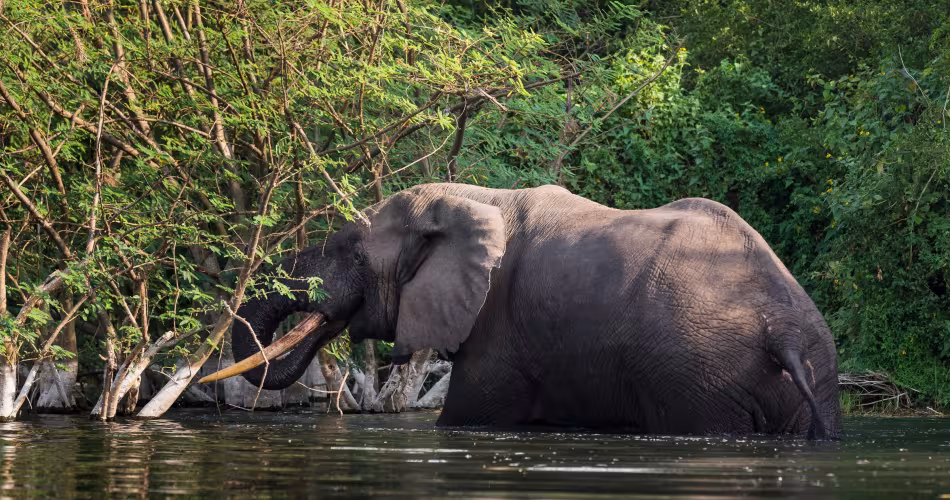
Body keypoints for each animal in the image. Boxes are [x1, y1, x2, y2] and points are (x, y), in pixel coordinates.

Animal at [201, 183, 841, 438]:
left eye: (345, 250)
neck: (472, 198)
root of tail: (783, 329)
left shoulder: (497, 326)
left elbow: (467, 418)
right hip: (809, 370)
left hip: (697, 371)